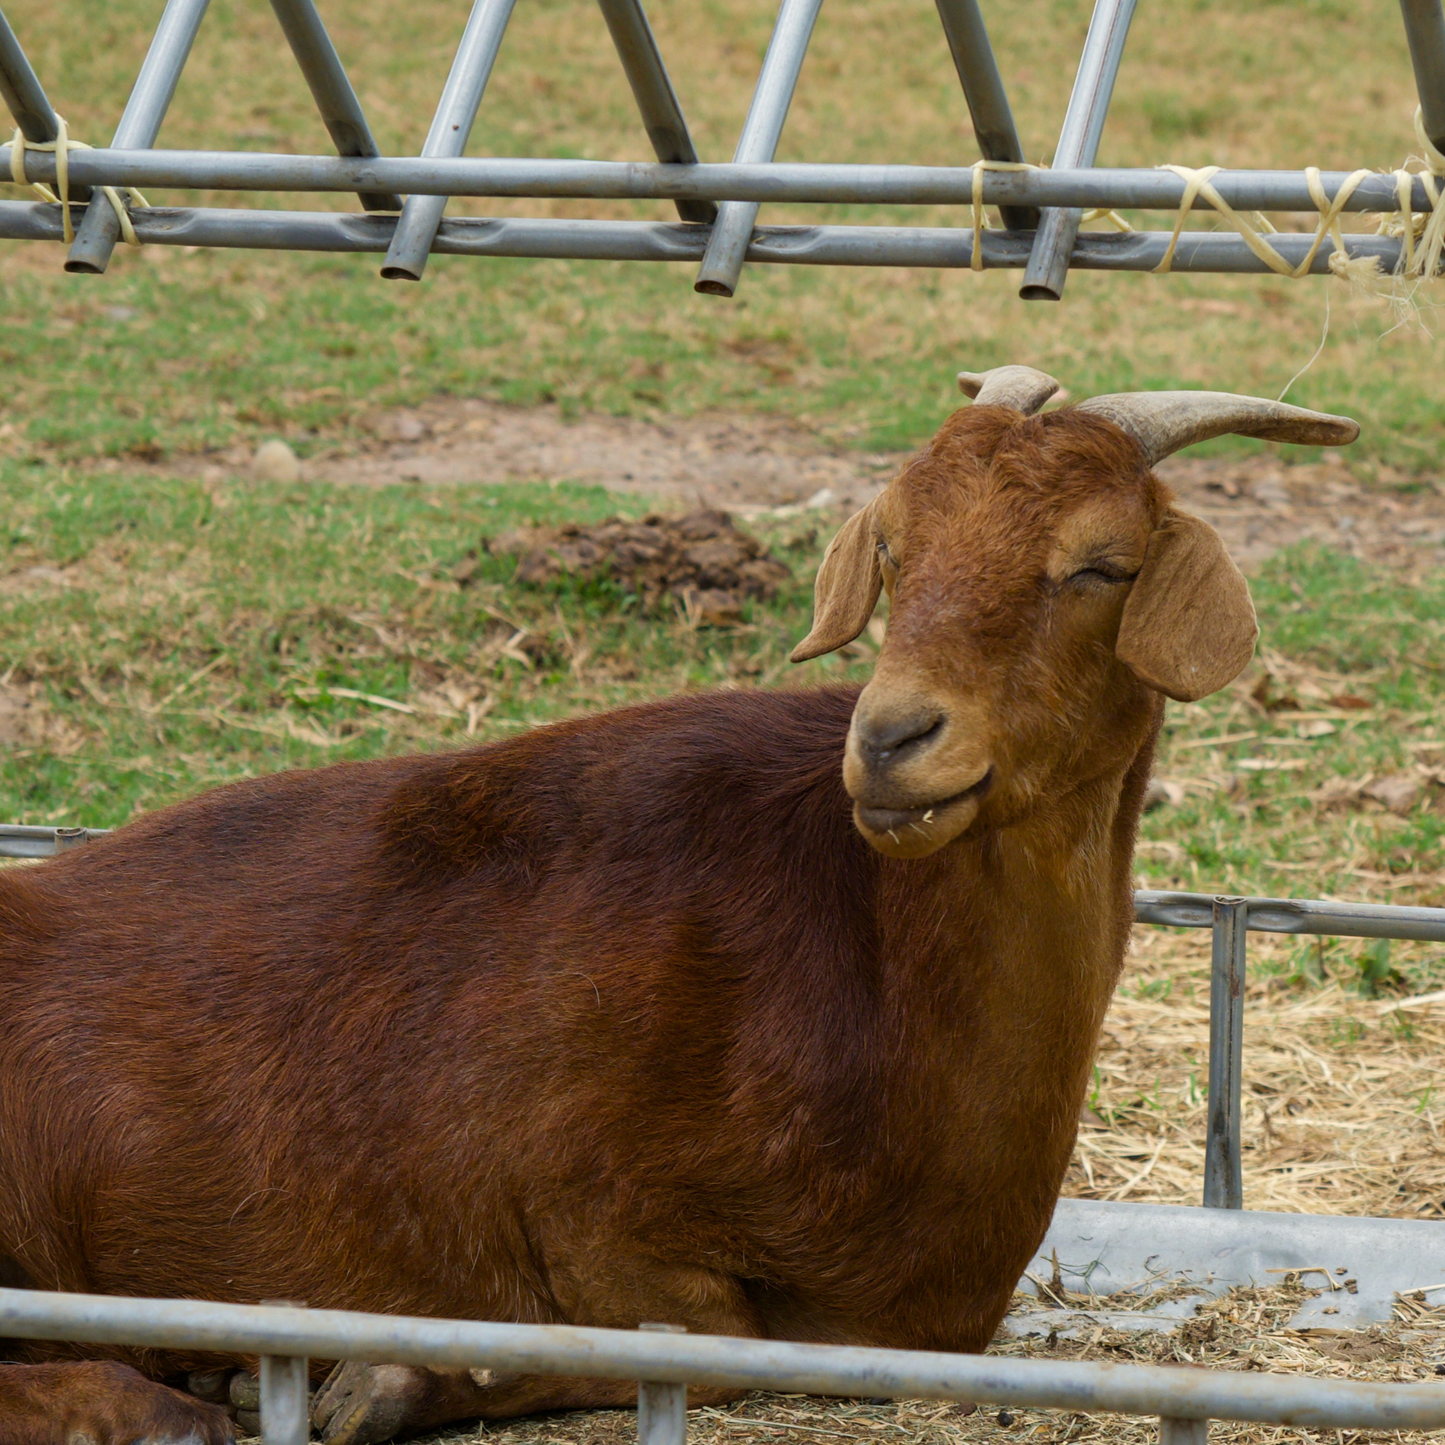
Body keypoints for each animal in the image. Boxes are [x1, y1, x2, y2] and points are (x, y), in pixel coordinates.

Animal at [0, 367, 1358, 1445]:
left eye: (1098, 564)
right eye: (893, 552)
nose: (892, 739)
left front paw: (364, 1380)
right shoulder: (588, 1214)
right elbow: (694, 1344)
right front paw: (365, 1375)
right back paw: (165, 1402)